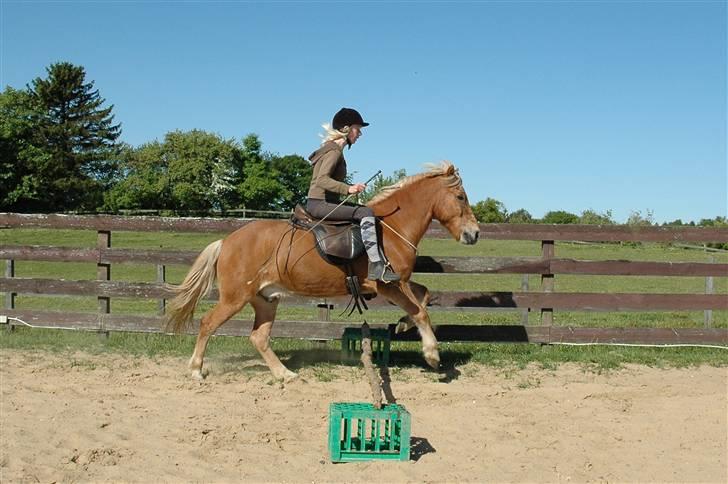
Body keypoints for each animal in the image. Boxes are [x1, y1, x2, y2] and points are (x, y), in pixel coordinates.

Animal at [164, 163, 478, 382]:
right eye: (460, 196)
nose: (474, 234)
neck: (390, 229)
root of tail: (226, 241)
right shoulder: (387, 284)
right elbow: (420, 311)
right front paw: (432, 354)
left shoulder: (399, 282)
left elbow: (423, 296)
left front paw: (402, 325)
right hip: (235, 298)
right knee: (207, 323)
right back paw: (196, 370)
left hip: (265, 299)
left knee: (259, 337)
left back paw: (284, 374)